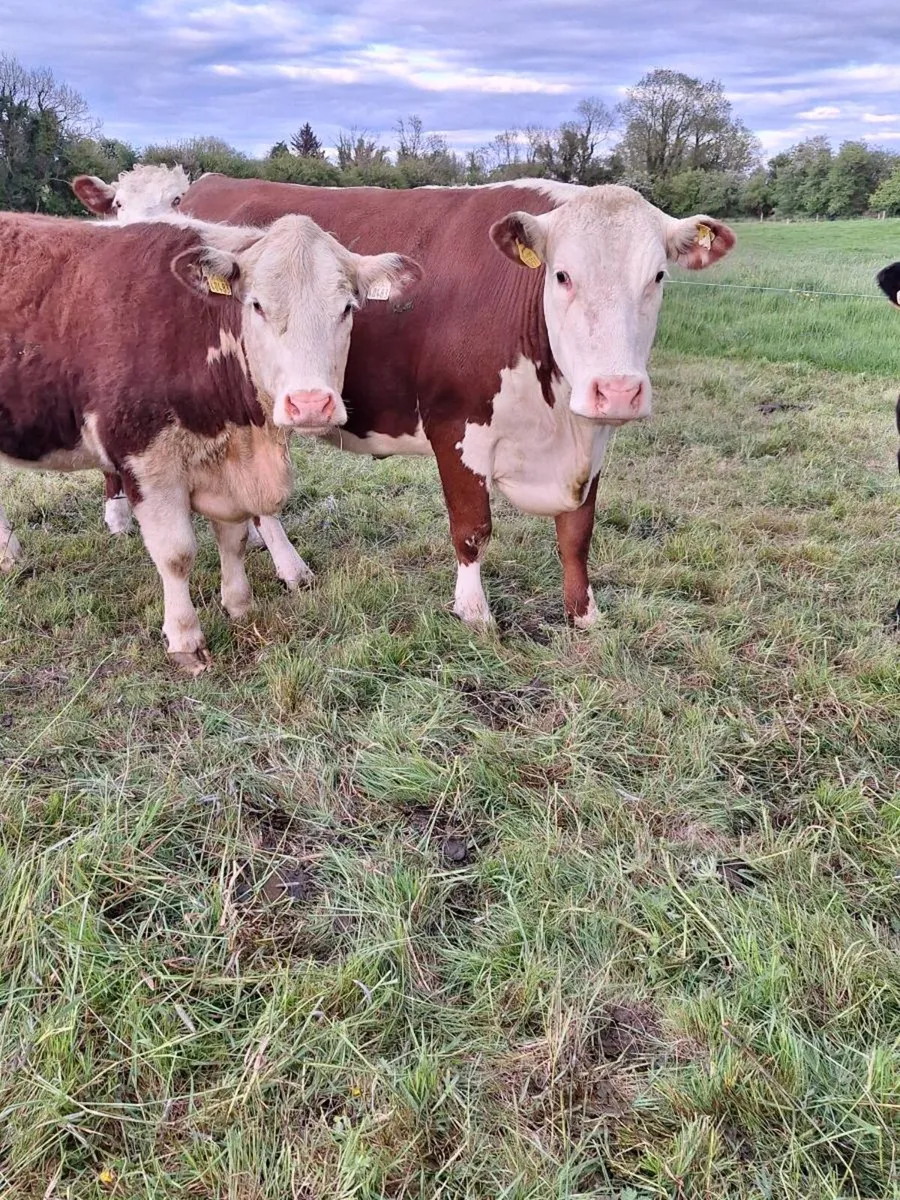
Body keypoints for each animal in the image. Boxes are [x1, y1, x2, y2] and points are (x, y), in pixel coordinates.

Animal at [0, 211, 421, 668]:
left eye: (347, 308)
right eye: (256, 305)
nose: (310, 403)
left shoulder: (228, 464)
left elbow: (233, 540)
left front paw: (239, 605)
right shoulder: (143, 459)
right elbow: (176, 553)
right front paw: (186, 639)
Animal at [164, 174, 736, 629]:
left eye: (657, 277)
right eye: (562, 275)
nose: (616, 390)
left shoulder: (592, 442)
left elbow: (577, 533)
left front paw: (585, 614)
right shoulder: (456, 428)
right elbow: (472, 529)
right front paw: (474, 612)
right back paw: (290, 566)